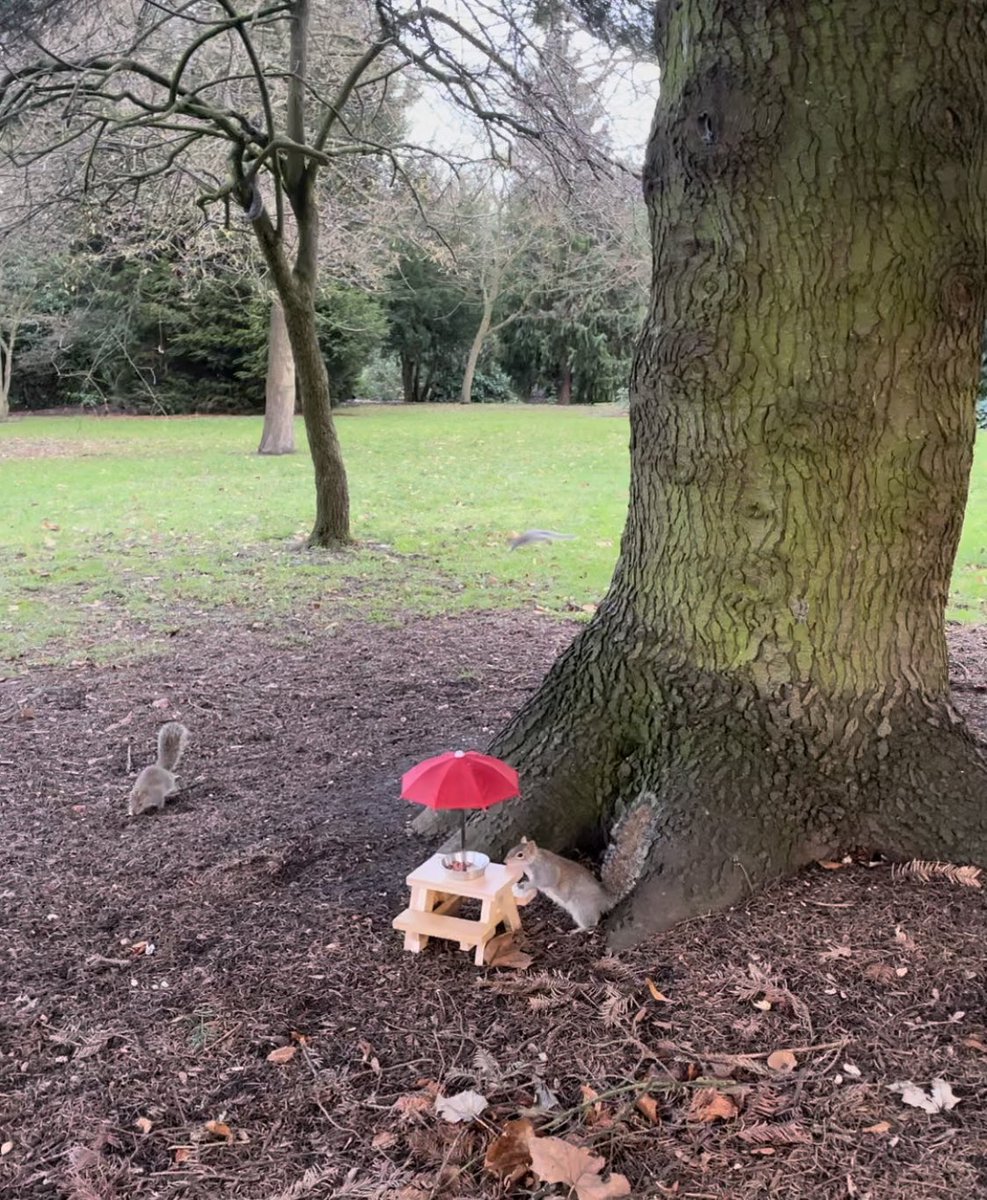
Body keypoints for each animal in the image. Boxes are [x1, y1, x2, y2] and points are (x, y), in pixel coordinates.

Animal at [505, 793, 659, 929]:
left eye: (520, 855)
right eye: (511, 849)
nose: (506, 861)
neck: (532, 861)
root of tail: (604, 900)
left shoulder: (545, 869)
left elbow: (544, 881)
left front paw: (526, 885)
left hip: (581, 907)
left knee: (592, 922)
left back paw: (576, 930)